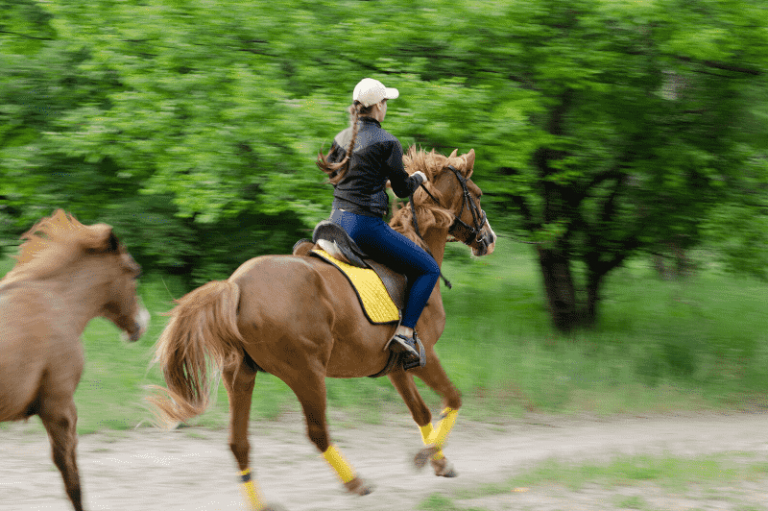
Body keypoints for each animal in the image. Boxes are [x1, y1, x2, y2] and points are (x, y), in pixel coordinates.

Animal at [148, 147, 497, 511]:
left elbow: (421, 412)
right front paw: (426, 455)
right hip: (306, 373)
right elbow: (453, 398)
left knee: (238, 443)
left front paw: (439, 461)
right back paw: (356, 483)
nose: (489, 239)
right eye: (477, 194)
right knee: (317, 433)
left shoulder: (396, 367)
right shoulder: (424, 356)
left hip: (241, 375)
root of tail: (237, 286)